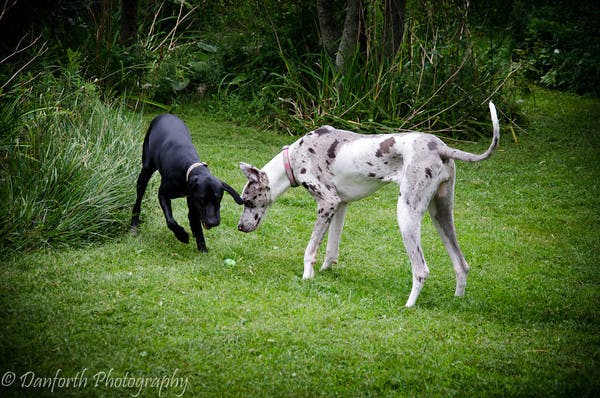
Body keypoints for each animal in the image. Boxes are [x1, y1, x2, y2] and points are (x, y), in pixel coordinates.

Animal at [132, 114, 244, 252]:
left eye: (218, 199)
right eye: (202, 199)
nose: (212, 222)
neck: (188, 167)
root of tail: (166, 114)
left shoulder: (193, 200)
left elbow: (196, 224)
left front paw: (202, 248)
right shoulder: (163, 194)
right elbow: (170, 221)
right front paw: (182, 235)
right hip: (145, 172)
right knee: (138, 200)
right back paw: (134, 224)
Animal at [237, 102, 500, 308]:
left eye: (248, 201)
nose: (239, 227)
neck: (292, 158)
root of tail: (440, 147)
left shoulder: (327, 203)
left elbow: (310, 250)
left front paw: (307, 276)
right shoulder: (340, 205)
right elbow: (331, 249)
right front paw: (324, 272)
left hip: (406, 215)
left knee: (421, 270)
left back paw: (409, 306)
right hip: (442, 215)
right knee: (461, 264)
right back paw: (458, 300)